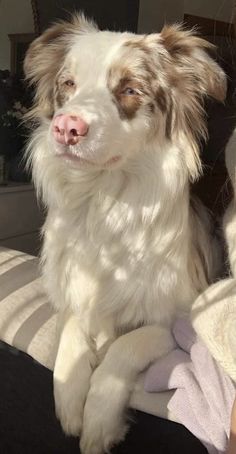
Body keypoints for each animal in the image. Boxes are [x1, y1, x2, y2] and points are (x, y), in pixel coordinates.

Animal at [24, 14, 226, 454]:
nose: (66, 127)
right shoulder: (73, 295)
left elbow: (121, 348)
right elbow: (71, 334)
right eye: (68, 84)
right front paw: (70, 402)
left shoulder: (175, 322)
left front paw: (98, 424)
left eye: (131, 90)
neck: (102, 201)